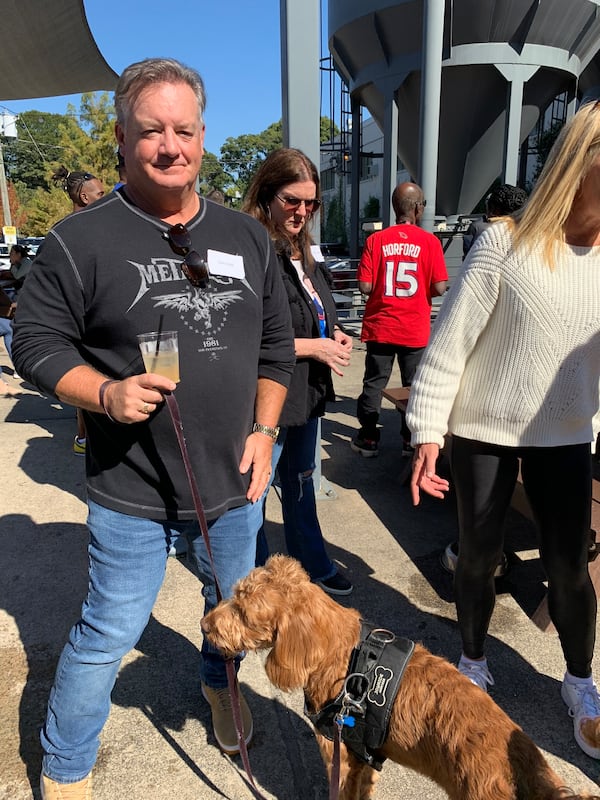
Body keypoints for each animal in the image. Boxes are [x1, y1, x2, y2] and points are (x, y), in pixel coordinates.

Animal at [203, 556, 600, 800]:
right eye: (234, 596)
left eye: (243, 613)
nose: (205, 625)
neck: (343, 651)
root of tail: (524, 759)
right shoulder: (361, 759)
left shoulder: (337, 752)